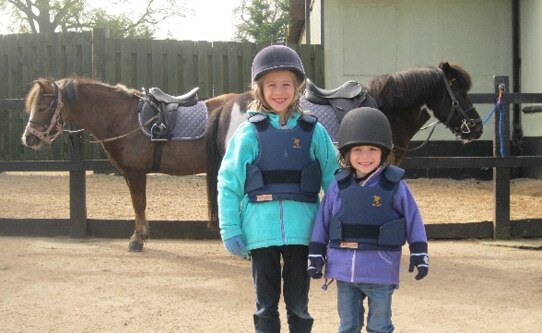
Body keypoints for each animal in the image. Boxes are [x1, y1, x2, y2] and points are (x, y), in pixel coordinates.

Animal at [21, 76, 236, 250]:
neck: (123, 117)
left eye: (43, 107)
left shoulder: (136, 172)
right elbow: (136, 204)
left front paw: (137, 240)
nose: (28, 138)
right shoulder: (127, 173)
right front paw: (141, 235)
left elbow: (139, 203)